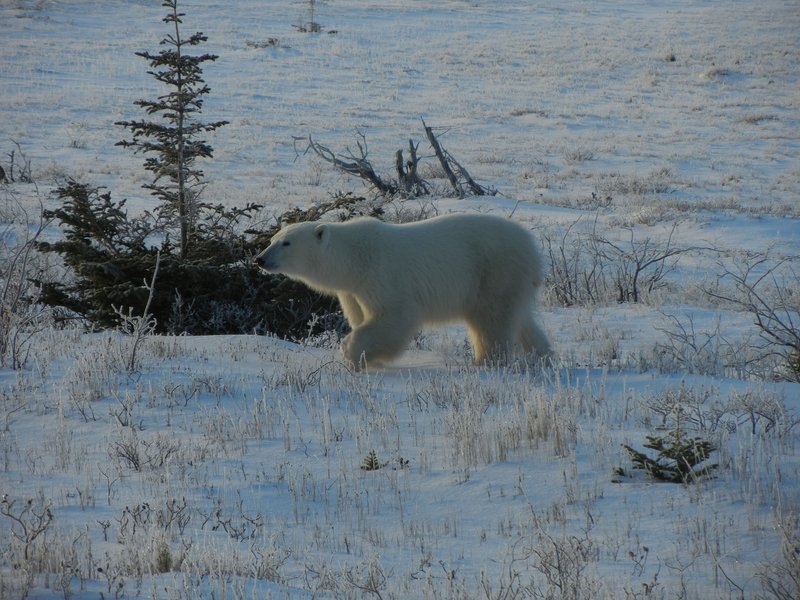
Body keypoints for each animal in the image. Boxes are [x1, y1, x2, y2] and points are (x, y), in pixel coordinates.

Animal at [256, 213, 552, 368]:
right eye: (273, 239)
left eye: (286, 243)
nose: (260, 259)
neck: (353, 257)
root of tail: (531, 246)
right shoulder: (352, 290)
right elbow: (360, 316)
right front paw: (368, 358)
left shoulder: (381, 274)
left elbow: (394, 316)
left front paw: (352, 355)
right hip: (511, 279)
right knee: (520, 319)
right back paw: (542, 356)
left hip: (494, 270)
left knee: (492, 319)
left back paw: (487, 361)